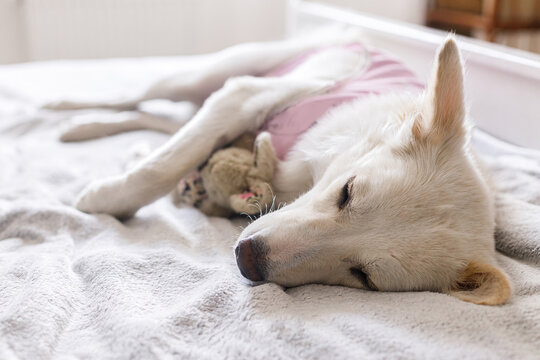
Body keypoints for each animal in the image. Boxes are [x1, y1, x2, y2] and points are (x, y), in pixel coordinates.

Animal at [46, 30, 510, 304]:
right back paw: (67, 112)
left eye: (364, 276)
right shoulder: (243, 97)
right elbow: (163, 165)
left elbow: (177, 153)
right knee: (136, 96)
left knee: (161, 121)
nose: (247, 261)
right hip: (215, 74)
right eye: (347, 192)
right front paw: (107, 199)